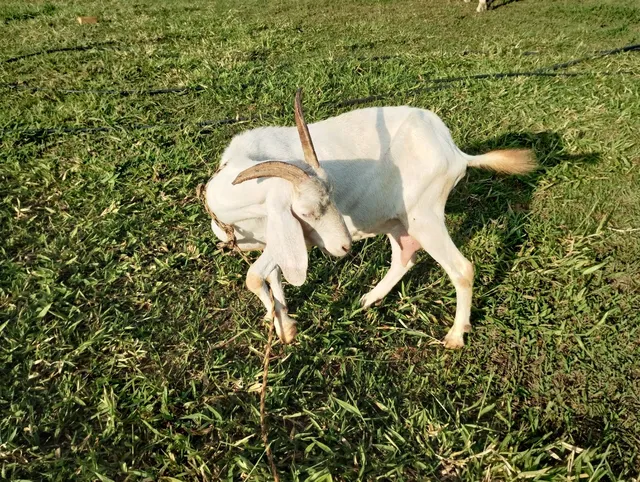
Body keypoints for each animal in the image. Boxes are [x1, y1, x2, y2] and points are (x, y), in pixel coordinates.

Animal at [206, 90, 536, 348]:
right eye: (308, 212)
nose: (344, 247)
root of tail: (454, 151)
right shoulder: (278, 239)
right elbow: (271, 277)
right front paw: (278, 319)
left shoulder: (293, 240)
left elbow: (254, 276)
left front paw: (285, 328)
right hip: (396, 219)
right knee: (405, 256)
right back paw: (369, 299)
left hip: (424, 214)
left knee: (462, 269)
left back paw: (455, 336)